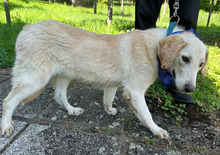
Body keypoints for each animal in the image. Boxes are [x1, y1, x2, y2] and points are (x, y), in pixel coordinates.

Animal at [0, 19, 209, 138]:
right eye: (185, 58)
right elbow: (147, 115)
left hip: (63, 77)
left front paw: (109, 111)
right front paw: (157, 130)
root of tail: (28, 27)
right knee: (8, 101)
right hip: (35, 79)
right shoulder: (135, 92)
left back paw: (72, 110)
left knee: (59, 96)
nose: (189, 89)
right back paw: (6, 126)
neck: (155, 48)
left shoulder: (113, 85)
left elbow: (108, 100)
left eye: (200, 65)